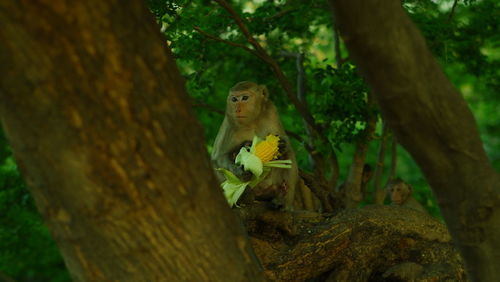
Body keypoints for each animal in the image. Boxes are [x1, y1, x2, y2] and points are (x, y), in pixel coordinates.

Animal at [211, 81, 296, 209]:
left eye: (245, 98)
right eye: (234, 99)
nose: (237, 109)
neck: (252, 121)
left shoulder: (271, 110)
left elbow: (286, 144)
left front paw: (282, 144)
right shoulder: (230, 122)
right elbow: (219, 156)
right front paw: (240, 171)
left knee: (289, 155)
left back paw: (281, 199)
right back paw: (244, 196)